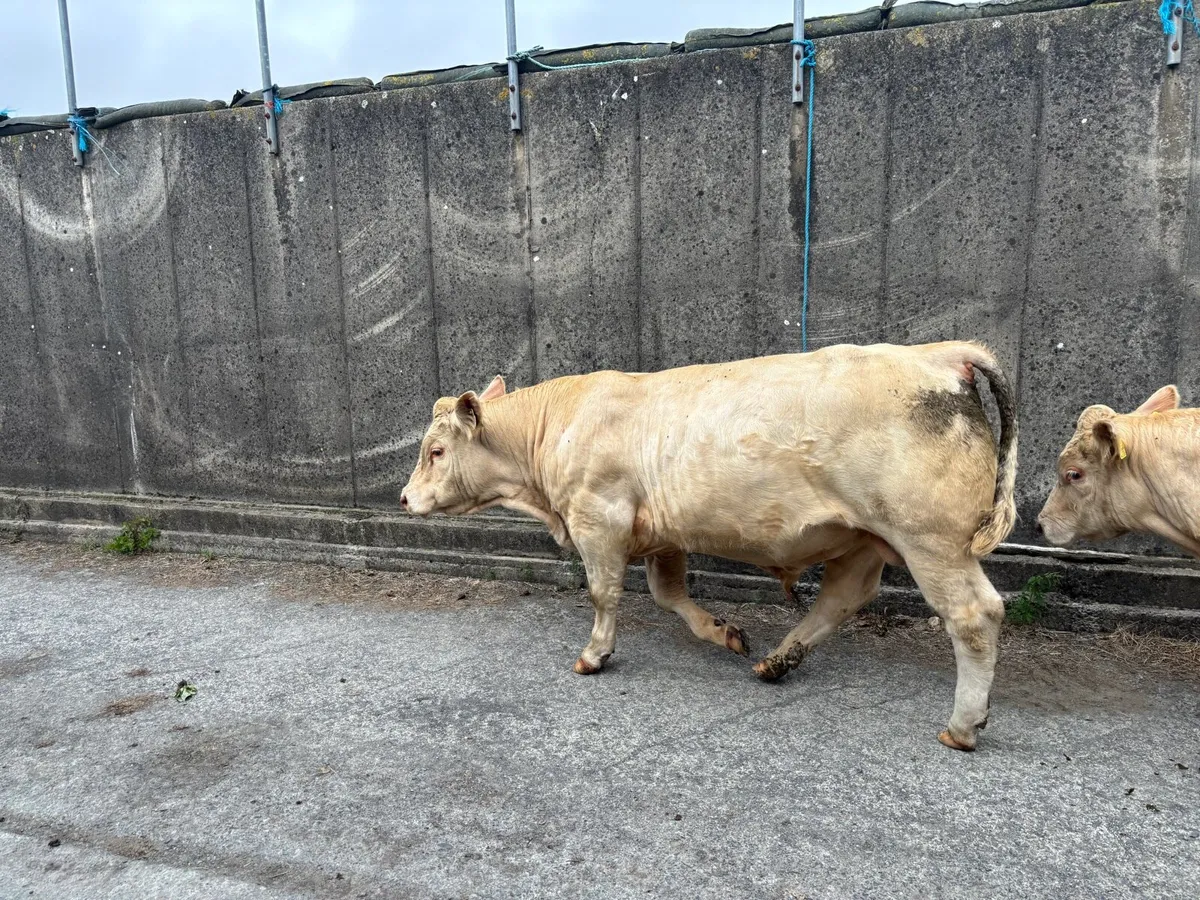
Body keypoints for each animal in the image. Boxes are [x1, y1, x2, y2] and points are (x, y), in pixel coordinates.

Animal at [401, 341, 1018, 751]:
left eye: (436, 451)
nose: (405, 498)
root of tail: (940, 354)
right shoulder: (660, 533)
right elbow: (668, 594)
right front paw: (724, 633)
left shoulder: (599, 516)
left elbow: (604, 593)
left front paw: (595, 654)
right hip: (865, 538)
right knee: (842, 597)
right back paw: (776, 661)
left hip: (930, 538)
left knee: (974, 615)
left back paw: (964, 725)